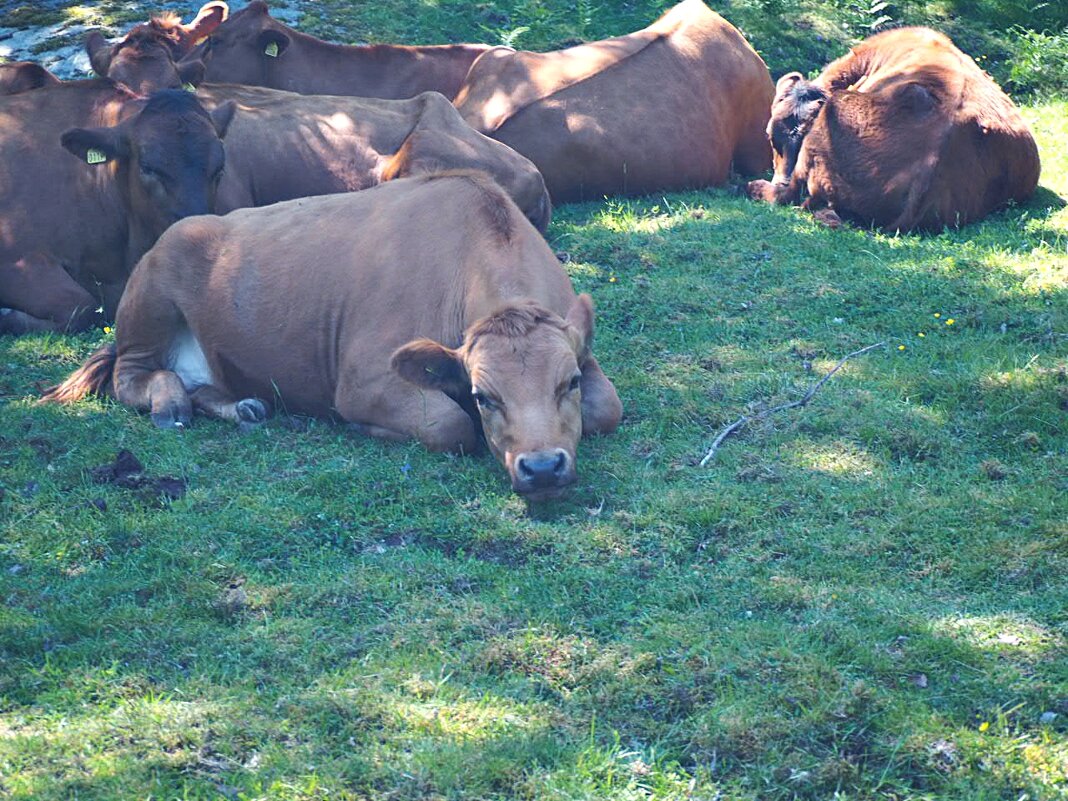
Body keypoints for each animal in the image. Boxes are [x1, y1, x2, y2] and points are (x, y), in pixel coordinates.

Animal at [43, 173, 623, 501]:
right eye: (484, 396)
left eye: (569, 383)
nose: (542, 468)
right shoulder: (364, 383)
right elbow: (449, 426)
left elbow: (608, 408)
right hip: (150, 304)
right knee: (131, 377)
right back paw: (169, 404)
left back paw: (243, 407)